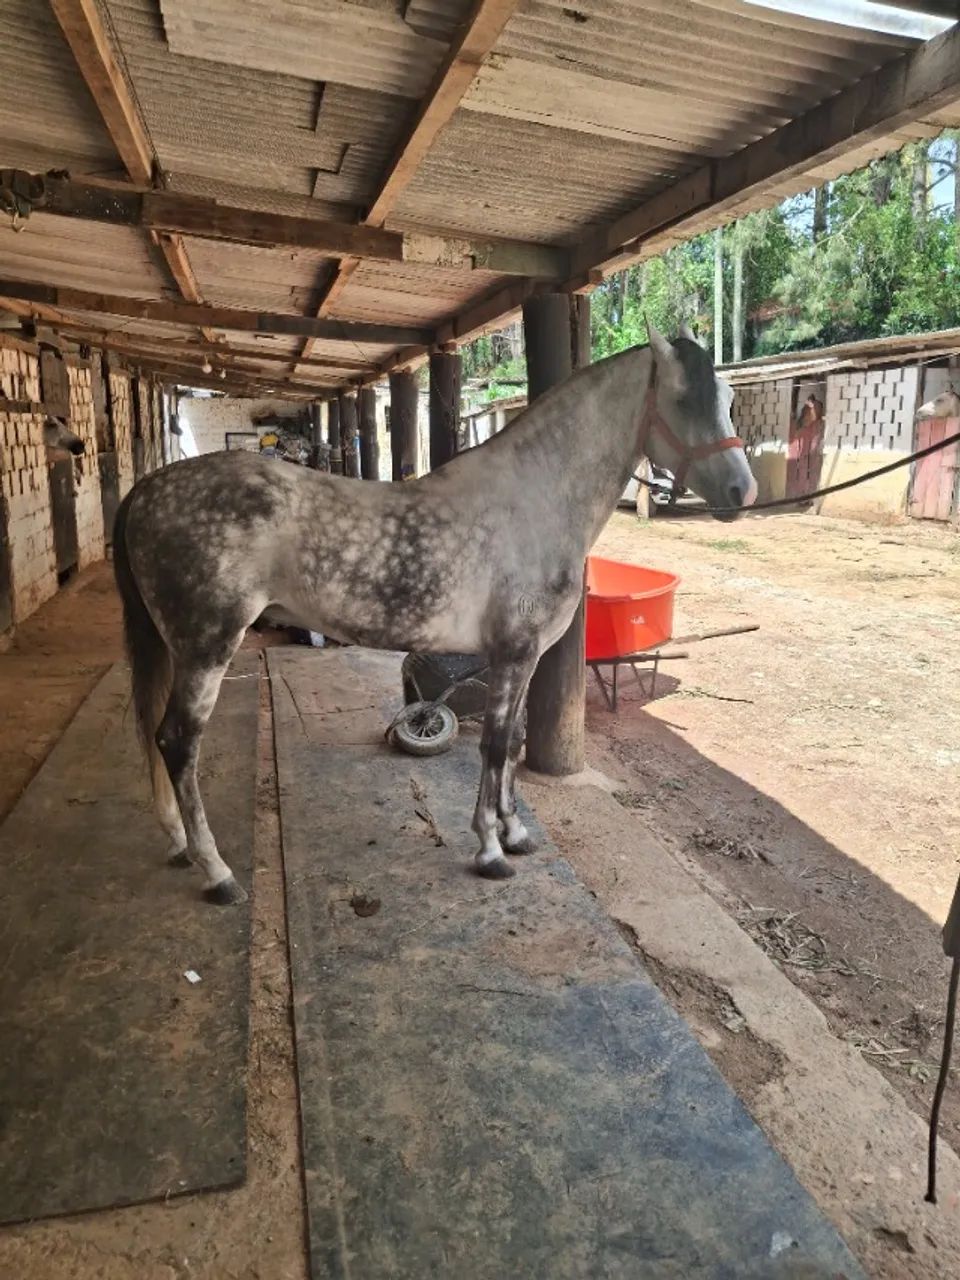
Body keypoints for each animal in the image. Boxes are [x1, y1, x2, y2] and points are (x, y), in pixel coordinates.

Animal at [112, 322, 757, 904]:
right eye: (683, 399)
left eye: (727, 399)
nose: (742, 492)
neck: (536, 501)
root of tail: (145, 492)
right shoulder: (513, 653)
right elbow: (493, 746)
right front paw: (491, 851)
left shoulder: (523, 658)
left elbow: (512, 743)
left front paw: (515, 833)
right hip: (205, 648)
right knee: (177, 742)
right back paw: (217, 873)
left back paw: (180, 845)